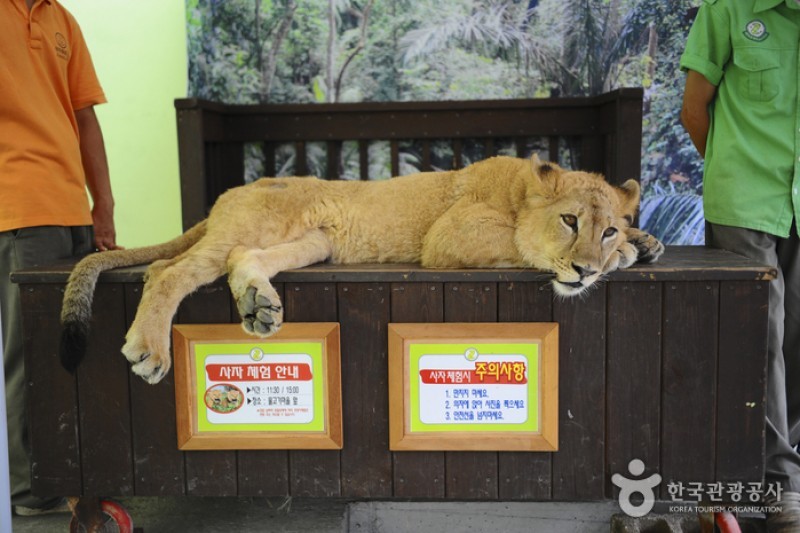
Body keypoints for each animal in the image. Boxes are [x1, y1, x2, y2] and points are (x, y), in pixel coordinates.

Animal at [59, 154, 664, 382]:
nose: (586, 271)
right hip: (249, 228)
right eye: (569, 220)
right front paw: (624, 256)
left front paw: (641, 241)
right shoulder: (450, 236)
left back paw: (260, 306)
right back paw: (151, 349)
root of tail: (228, 193)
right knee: (166, 269)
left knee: (236, 260)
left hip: (312, 244)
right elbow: (521, 243)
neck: (518, 187)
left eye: (606, 228)